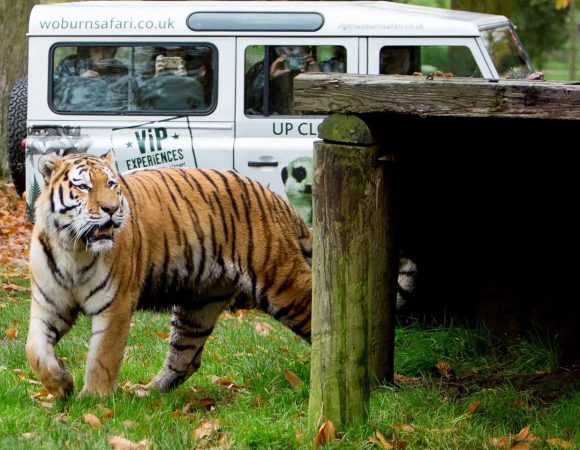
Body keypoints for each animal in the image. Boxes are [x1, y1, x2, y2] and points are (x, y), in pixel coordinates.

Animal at [26, 151, 312, 398]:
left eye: (111, 184)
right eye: (84, 187)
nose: (111, 208)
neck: (74, 250)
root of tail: (274, 198)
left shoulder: (115, 305)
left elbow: (102, 357)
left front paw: (94, 399)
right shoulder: (49, 303)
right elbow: (35, 349)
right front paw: (62, 384)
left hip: (282, 284)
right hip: (199, 306)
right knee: (186, 358)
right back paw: (148, 392)